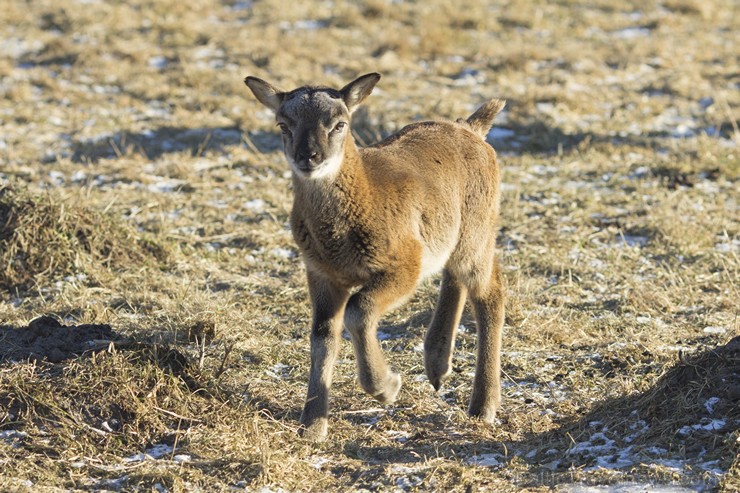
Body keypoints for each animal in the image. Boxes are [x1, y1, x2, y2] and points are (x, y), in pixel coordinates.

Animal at [246, 72, 506, 438]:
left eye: (340, 124)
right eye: (283, 124)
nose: (309, 157)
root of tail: (472, 128)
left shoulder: (405, 263)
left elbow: (359, 310)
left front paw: (386, 387)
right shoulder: (320, 272)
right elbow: (323, 335)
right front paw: (312, 426)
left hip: (478, 229)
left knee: (490, 291)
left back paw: (483, 407)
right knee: (453, 275)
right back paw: (437, 367)